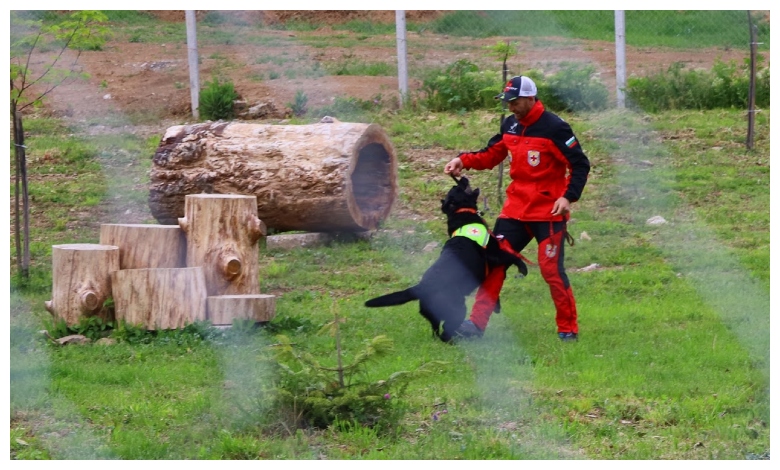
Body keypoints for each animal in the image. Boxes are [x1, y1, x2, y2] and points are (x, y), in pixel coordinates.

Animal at [368, 176, 532, 342]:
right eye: (457, 187)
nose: (462, 177)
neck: (461, 213)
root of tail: (421, 287)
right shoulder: (494, 253)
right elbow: (511, 256)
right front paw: (523, 267)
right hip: (458, 309)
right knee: (445, 333)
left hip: (434, 317)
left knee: (437, 333)